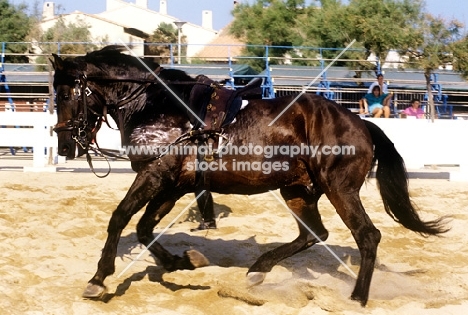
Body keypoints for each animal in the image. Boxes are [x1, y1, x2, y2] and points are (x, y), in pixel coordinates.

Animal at [50, 46, 446, 306]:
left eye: (67, 94)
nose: (65, 145)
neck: (155, 106)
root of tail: (360, 123)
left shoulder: (155, 175)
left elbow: (120, 218)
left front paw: (98, 278)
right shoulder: (172, 185)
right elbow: (145, 229)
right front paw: (184, 262)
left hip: (339, 189)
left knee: (367, 236)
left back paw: (357, 297)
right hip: (297, 190)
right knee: (313, 234)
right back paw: (258, 269)